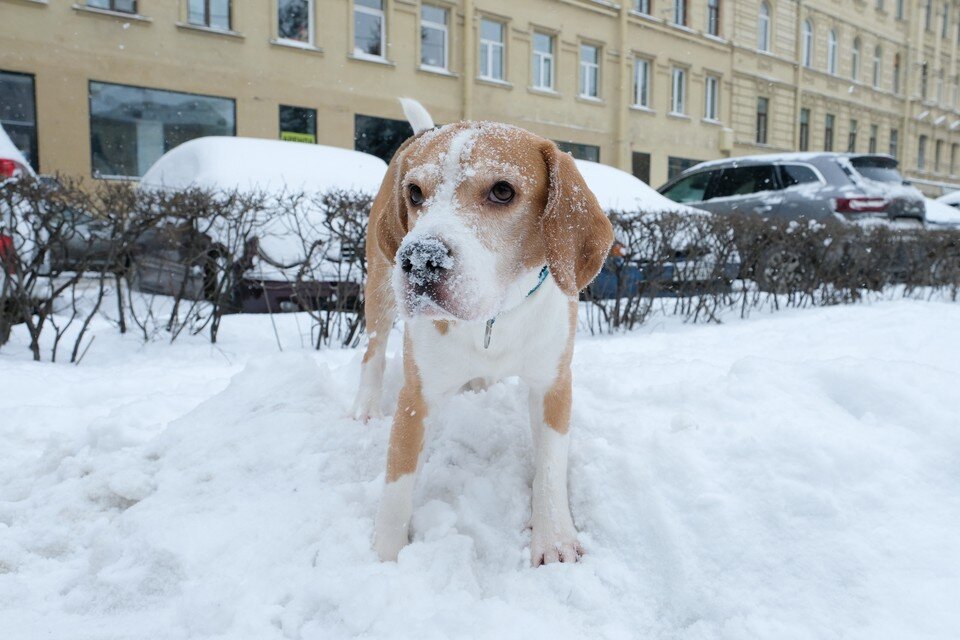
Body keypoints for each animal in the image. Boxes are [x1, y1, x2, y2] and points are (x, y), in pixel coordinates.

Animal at [354, 97, 616, 568]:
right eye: (415, 193)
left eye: (503, 191)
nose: (420, 259)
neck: (494, 319)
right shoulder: (416, 395)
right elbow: (398, 481)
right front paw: (385, 556)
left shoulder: (554, 382)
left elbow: (550, 465)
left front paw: (554, 538)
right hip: (379, 289)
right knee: (373, 348)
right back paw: (365, 405)